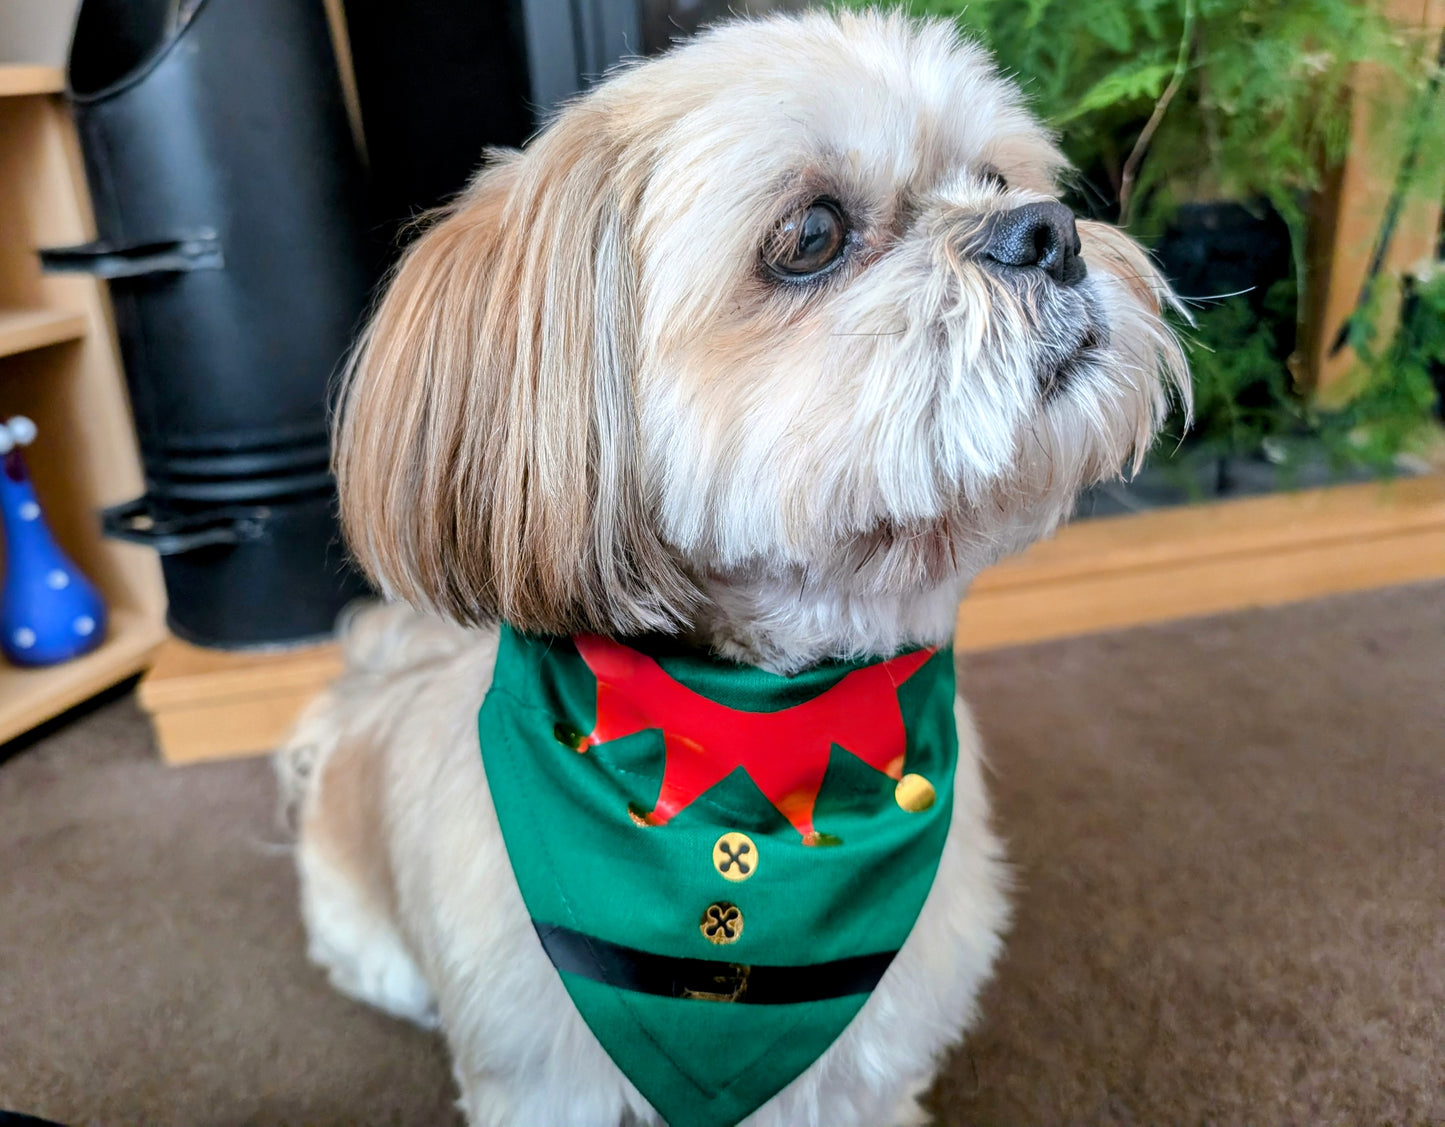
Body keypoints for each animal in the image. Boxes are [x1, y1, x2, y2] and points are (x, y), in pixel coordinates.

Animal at [278, 11, 1184, 1127]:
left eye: (995, 177)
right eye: (810, 235)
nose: (1047, 232)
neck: (758, 731)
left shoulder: (866, 1080)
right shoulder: (546, 1083)